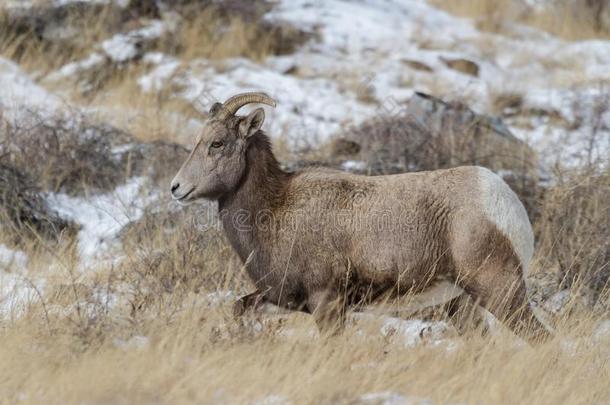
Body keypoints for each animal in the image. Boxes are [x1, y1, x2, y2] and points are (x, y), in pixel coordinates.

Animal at [169, 91, 548, 340]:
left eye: (217, 143)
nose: (176, 187)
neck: (275, 209)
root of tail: (505, 202)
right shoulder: (282, 298)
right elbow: (239, 308)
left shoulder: (328, 303)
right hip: (463, 306)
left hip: (499, 292)